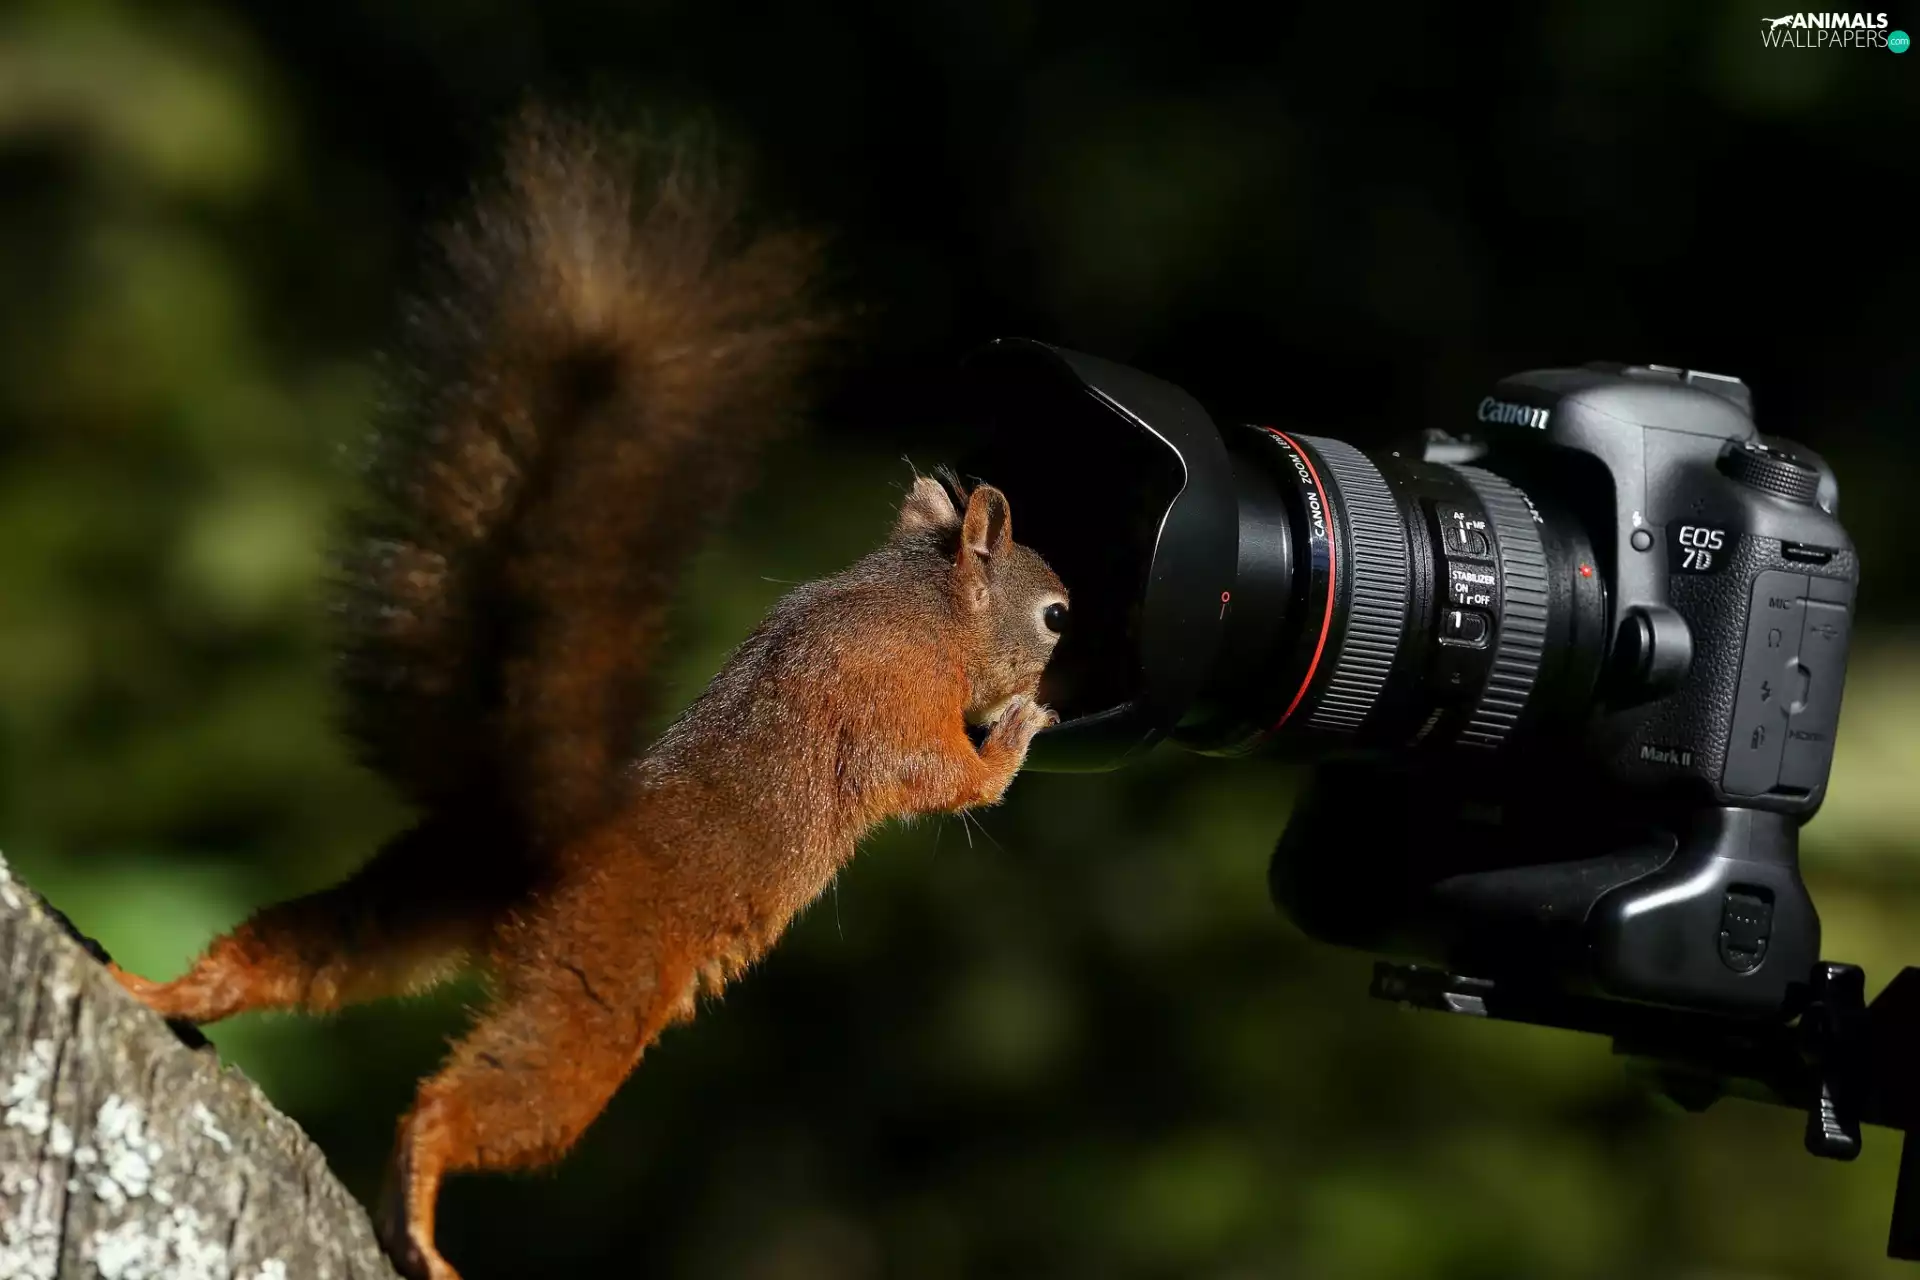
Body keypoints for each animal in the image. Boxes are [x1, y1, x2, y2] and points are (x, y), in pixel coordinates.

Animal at [108, 103, 1069, 1280]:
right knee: (469, 1101)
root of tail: (536, 833)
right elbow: (953, 782)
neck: (919, 604)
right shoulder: (897, 702)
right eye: (1056, 615)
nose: (1072, 664)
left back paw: (158, 989)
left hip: (417, 891)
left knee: (295, 953)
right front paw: (1021, 725)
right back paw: (420, 1214)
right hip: (597, 993)